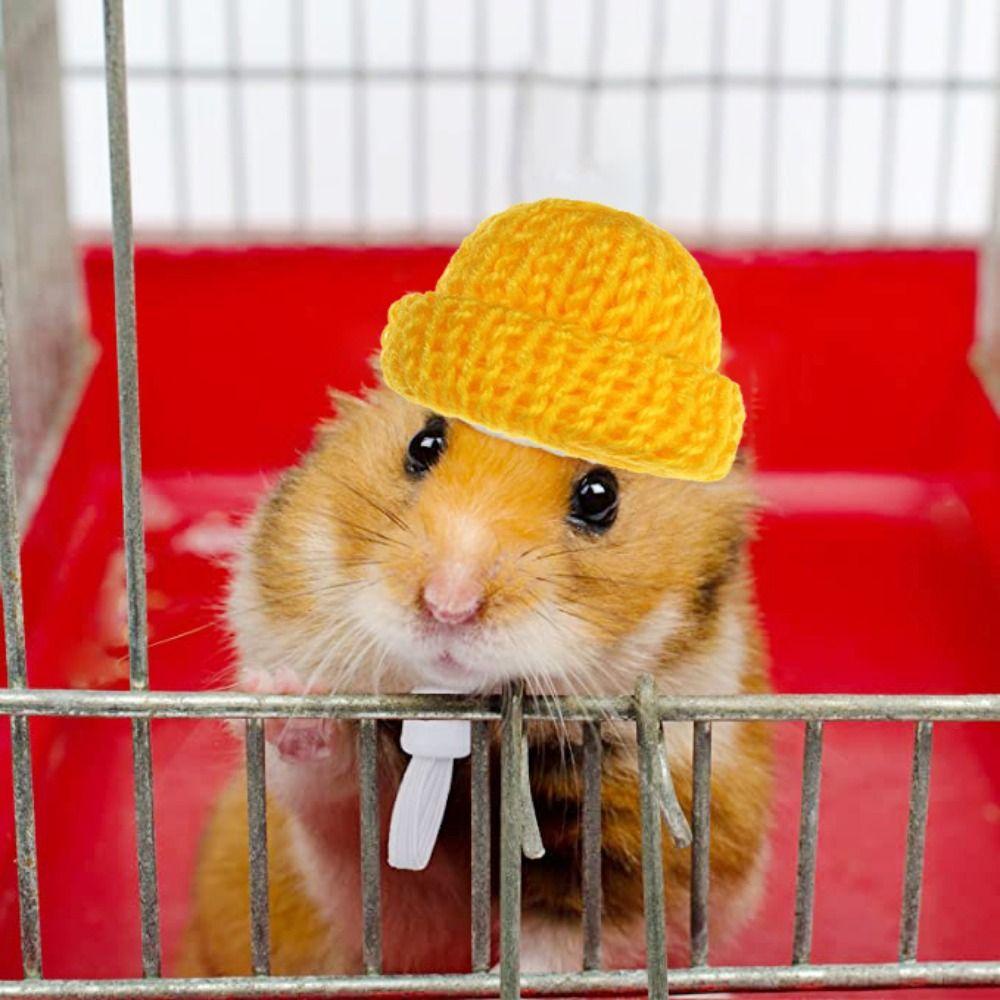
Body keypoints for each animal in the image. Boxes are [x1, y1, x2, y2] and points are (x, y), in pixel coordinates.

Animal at [178, 369, 773, 977]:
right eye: (424, 445)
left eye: (599, 495)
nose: (448, 605)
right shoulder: (383, 892)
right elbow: (344, 813)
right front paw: (290, 699)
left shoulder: (651, 865)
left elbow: (566, 948)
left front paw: (505, 976)